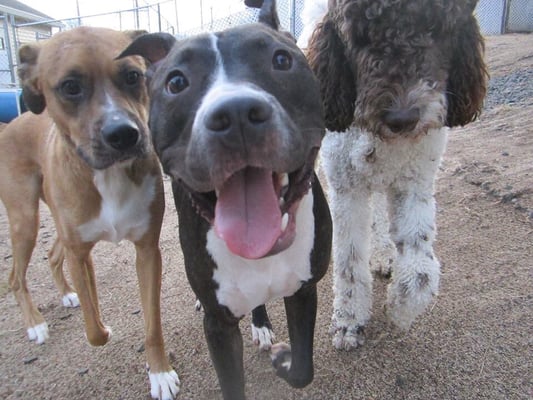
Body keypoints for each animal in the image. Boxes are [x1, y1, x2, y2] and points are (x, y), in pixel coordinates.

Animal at [0, 26, 180, 398]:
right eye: (70, 86)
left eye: (133, 76)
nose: (124, 134)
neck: (108, 175)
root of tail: (10, 125)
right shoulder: (80, 252)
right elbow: (94, 328)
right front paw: (102, 326)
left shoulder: (147, 251)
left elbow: (152, 324)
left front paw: (159, 372)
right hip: (25, 220)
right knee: (15, 277)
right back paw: (35, 323)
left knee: (53, 255)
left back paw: (66, 294)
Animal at [118, 1, 330, 398]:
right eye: (176, 82)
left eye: (281, 59)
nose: (235, 114)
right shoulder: (219, 326)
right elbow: (232, 382)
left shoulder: (304, 291)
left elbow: (304, 369)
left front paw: (284, 361)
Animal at [300, 0, 486, 350]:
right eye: (357, 37)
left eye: (436, 29)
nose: (402, 117)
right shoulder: (347, 189)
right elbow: (349, 262)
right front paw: (349, 321)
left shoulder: (415, 183)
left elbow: (421, 268)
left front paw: (400, 307)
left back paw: (384, 255)